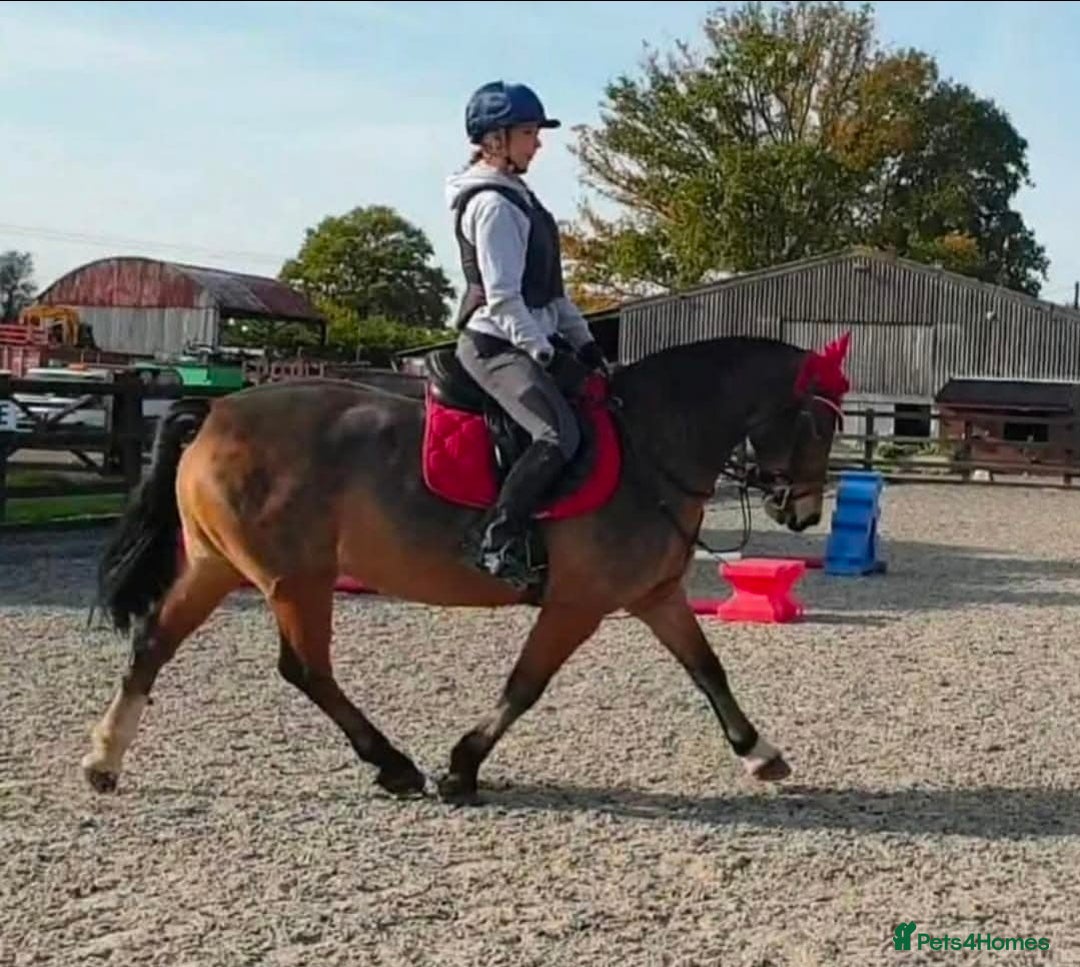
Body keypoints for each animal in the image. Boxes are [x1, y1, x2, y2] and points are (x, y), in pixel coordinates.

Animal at [82, 331, 851, 803]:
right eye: (819, 422)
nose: (803, 513)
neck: (650, 445)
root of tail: (215, 412)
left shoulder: (656, 595)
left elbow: (708, 670)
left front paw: (760, 752)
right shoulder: (577, 604)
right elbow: (525, 685)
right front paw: (462, 765)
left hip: (218, 566)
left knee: (154, 642)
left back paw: (104, 760)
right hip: (295, 579)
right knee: (305, 669)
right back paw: (394, 764)